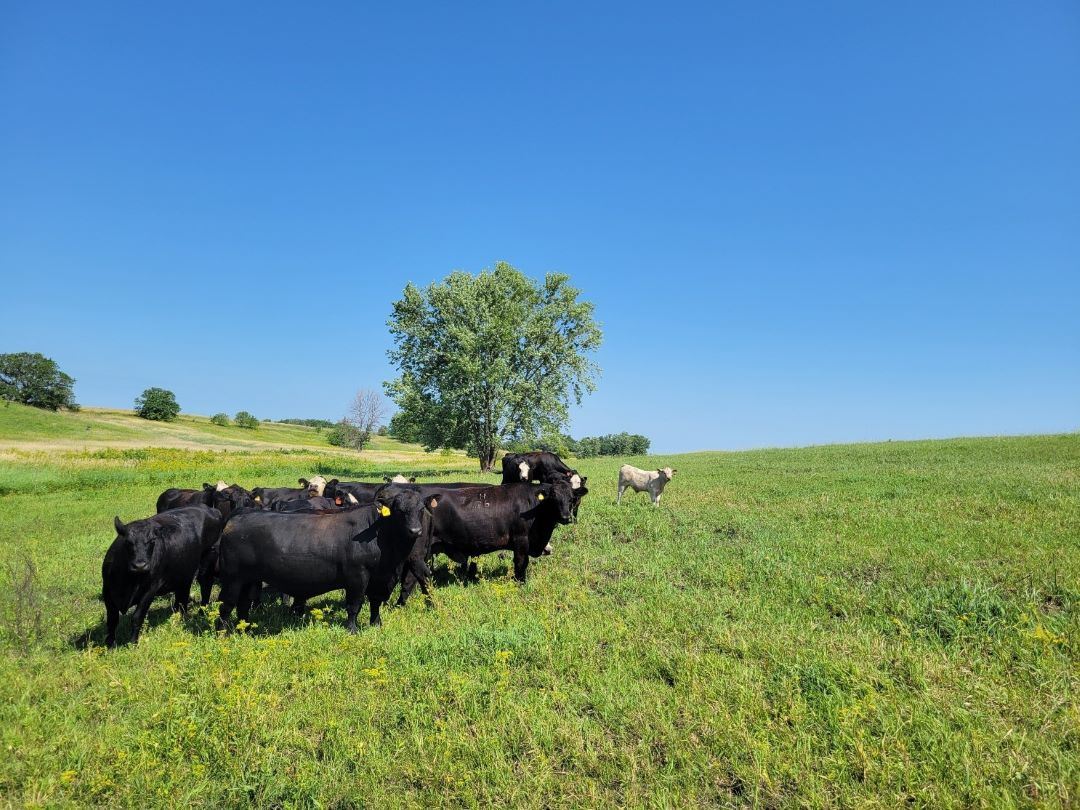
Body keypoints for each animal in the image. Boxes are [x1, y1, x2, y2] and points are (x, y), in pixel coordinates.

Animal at [102, 505, 224, 647]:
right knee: (182, 596)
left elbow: (137, 617)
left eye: (152, 541)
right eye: (128, 542)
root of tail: (209, 509)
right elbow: (112, 620)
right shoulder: (107, 591)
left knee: (205, 587)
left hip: (206, 563)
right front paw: (109, 645)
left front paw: (133, 643)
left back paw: (201, 612)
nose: (140, 565)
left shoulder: (150, 590)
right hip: (184, 572)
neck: (129, 581)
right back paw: (179, 617)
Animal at [216, 485, 440, 632]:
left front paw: (376, 624)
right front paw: (352, 629)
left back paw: (245, 628)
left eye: (421, 509)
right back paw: (224, 632)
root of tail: (237, 517)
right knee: (227, 605)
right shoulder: (357, 576)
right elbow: (354, 605)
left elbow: (375, 603)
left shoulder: (381, 579)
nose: (415, 531)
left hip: (249, 580)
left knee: (243, 605)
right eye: (398, 510)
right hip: (233, 578)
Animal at [397, 478, 585, 605]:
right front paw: (520, 585)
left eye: (571, 499)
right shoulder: (521, 540)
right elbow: (521, 564)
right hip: (417, 553)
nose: (566, 517)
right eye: (553, 498)